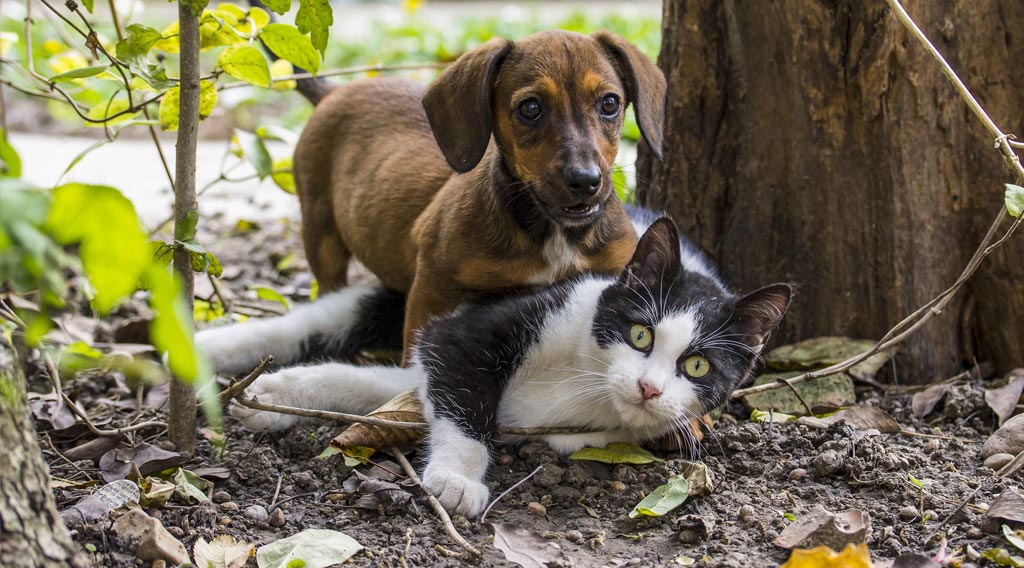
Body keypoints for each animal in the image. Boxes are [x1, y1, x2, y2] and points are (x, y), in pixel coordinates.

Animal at [197, 210, 790, 517]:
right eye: (640, 334)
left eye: (697, 368)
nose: (648, 388)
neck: (587, 379)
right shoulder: (476, 328)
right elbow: (463, 396)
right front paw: (458, 479)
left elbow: (383, 386)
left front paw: (277, 397)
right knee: (319, 319)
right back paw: (206, 349)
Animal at [292, 30, 667, 356]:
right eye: (530, 108)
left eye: (610, 103)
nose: (586, 182)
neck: (552, 233)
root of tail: (333, 92)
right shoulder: (433, 286)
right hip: (321, 234)